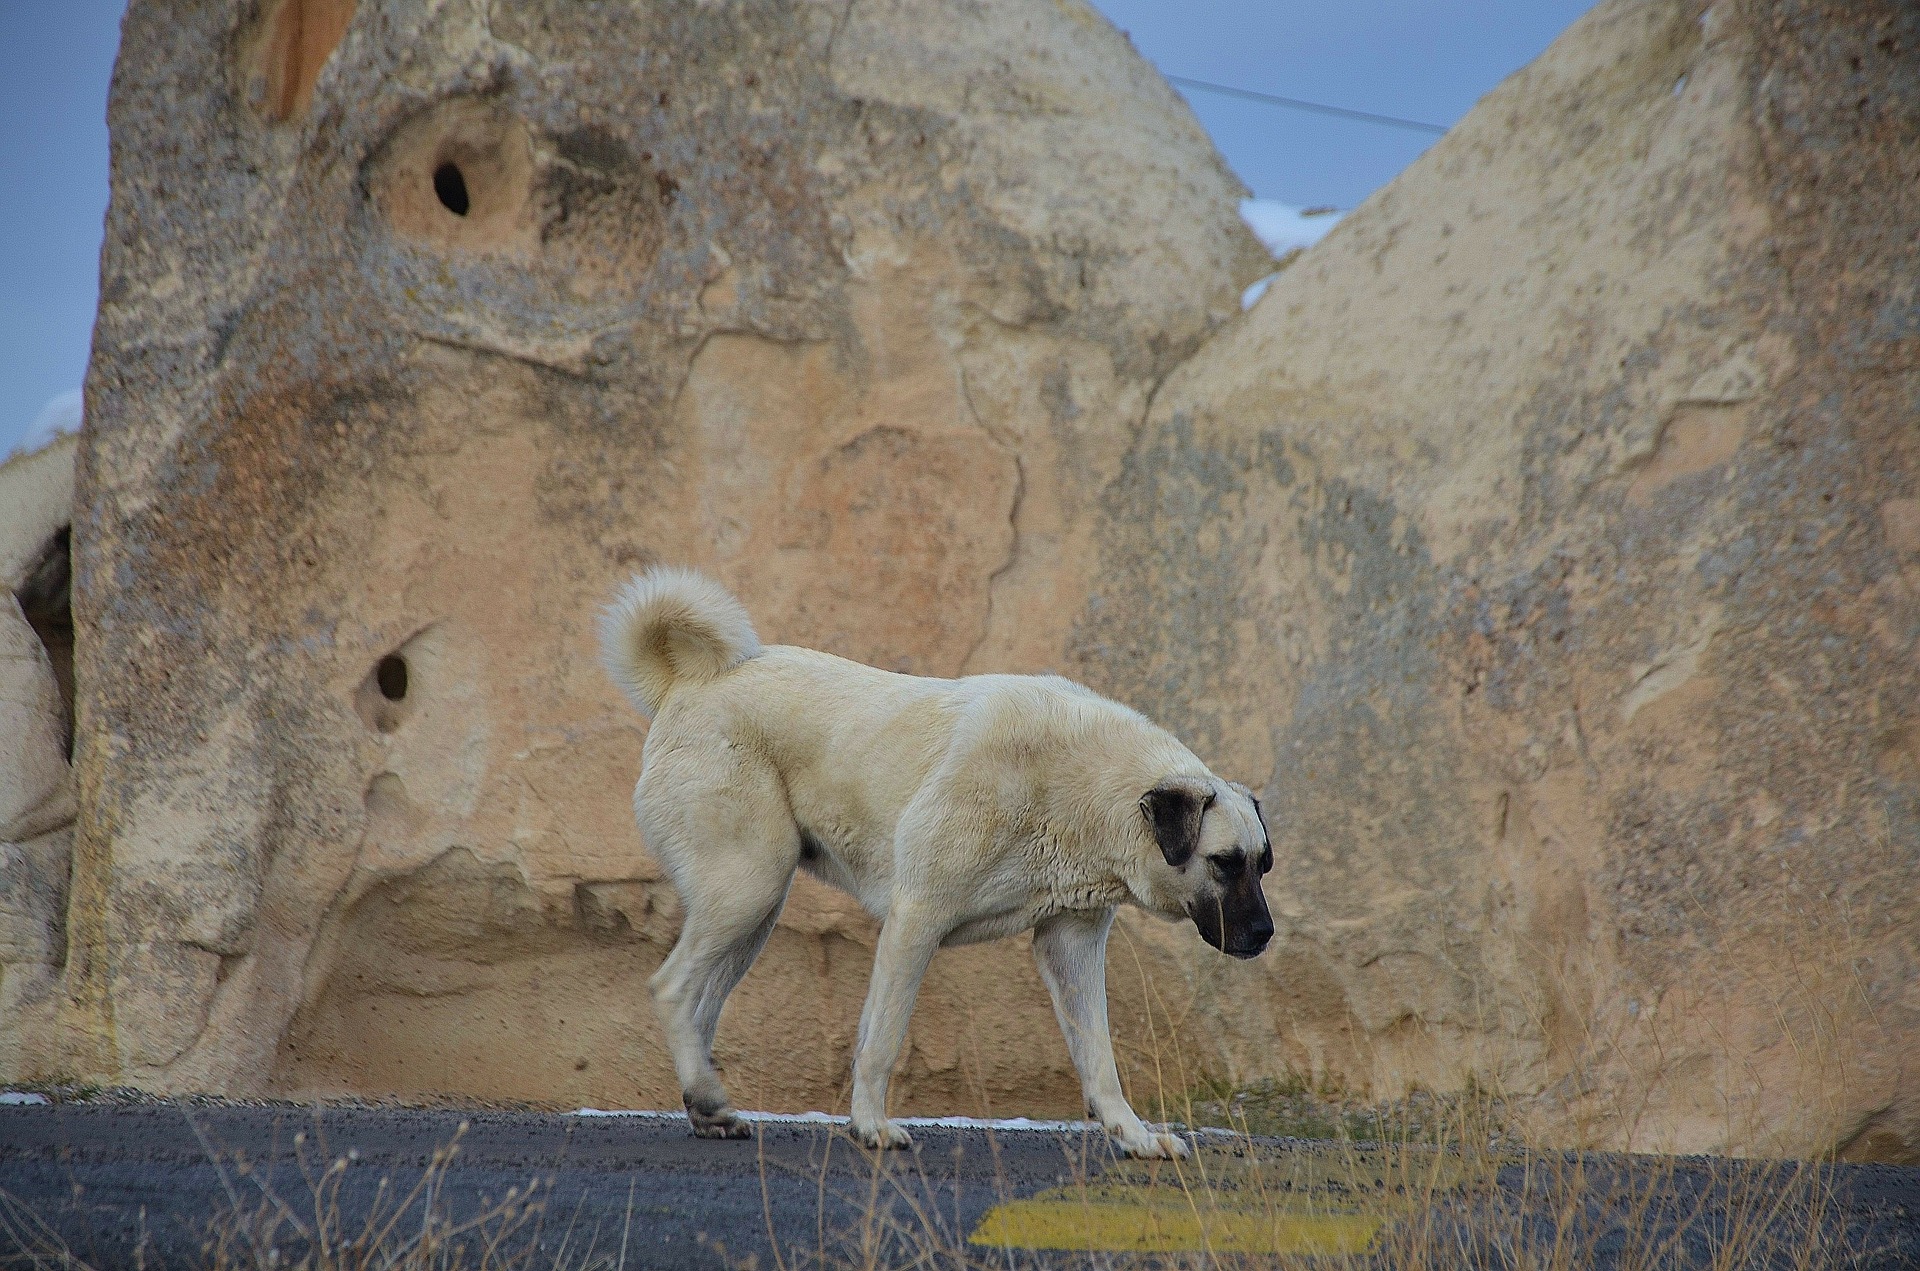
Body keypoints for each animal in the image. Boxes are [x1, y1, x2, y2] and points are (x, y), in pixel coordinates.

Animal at [591, 572, 1267, 1159]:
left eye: (1262, 865)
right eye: (1223, 862)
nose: (1265, 934)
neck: (1086, 784)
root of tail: (689, 684)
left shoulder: (1071, 944)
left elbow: (1099, 1059)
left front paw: (1135, 1137)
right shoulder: (916, 917)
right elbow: (882, 1040)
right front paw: (871, 1126)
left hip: (753, 912)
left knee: (702, 1003)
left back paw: (707, 1105)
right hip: (747, 888)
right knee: (673, 988)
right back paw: (706, 1095)